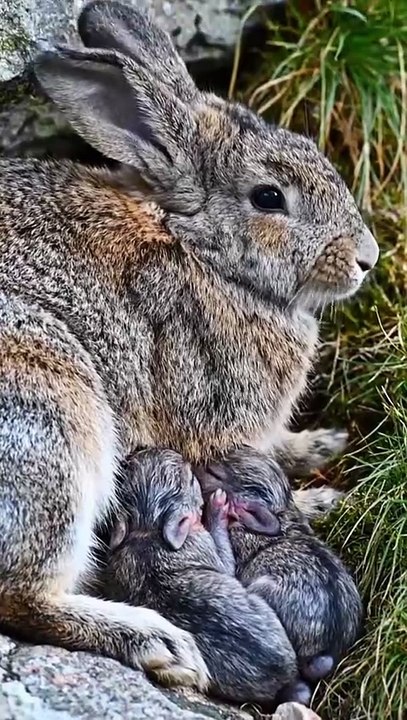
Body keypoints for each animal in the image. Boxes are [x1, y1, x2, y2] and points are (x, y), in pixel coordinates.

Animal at [95, 448, 314, 708]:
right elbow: (226, 562)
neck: (148, 527)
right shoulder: (206, 543)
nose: (138, 452)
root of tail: (284, 675)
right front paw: (218, 506)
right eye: (191, 479)